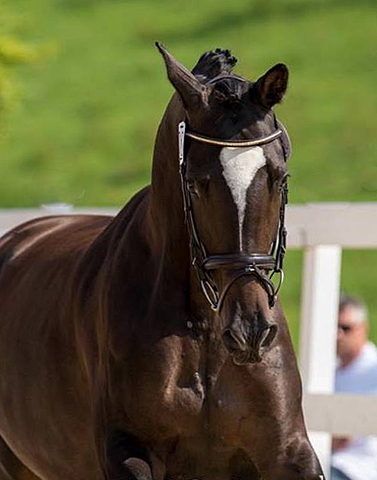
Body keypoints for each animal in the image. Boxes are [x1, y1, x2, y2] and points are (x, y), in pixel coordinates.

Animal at [0, 46, 324, 480]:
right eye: (196, 183)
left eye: (279, 176)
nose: (251, 332)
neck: (204, 329)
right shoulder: (127, 450)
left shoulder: (288, 453)